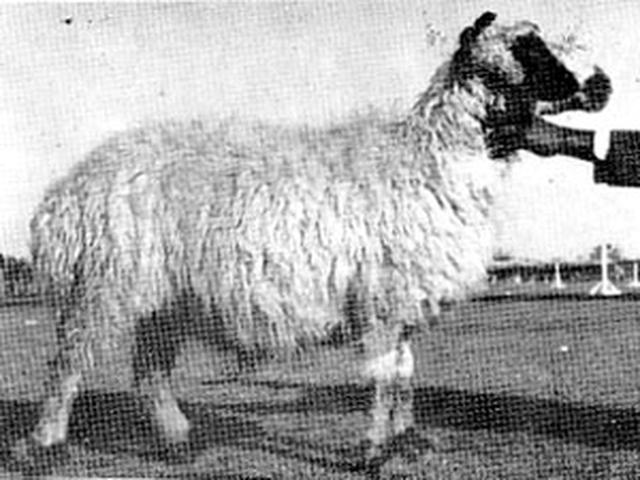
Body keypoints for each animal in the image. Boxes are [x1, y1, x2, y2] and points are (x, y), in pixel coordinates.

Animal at [17, 11, 610, 475]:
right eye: (525, 47)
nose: (597, 84)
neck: (428, 158)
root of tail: (63, 195)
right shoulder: (380, 297)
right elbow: (385, 377)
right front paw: (374, 452)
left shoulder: (400, 299)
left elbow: (405, 373)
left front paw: (406, 441)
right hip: (104, 284)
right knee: (68, 364)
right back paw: (44, 447)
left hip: (166, 299)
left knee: (149, 373)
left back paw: (179, 443)